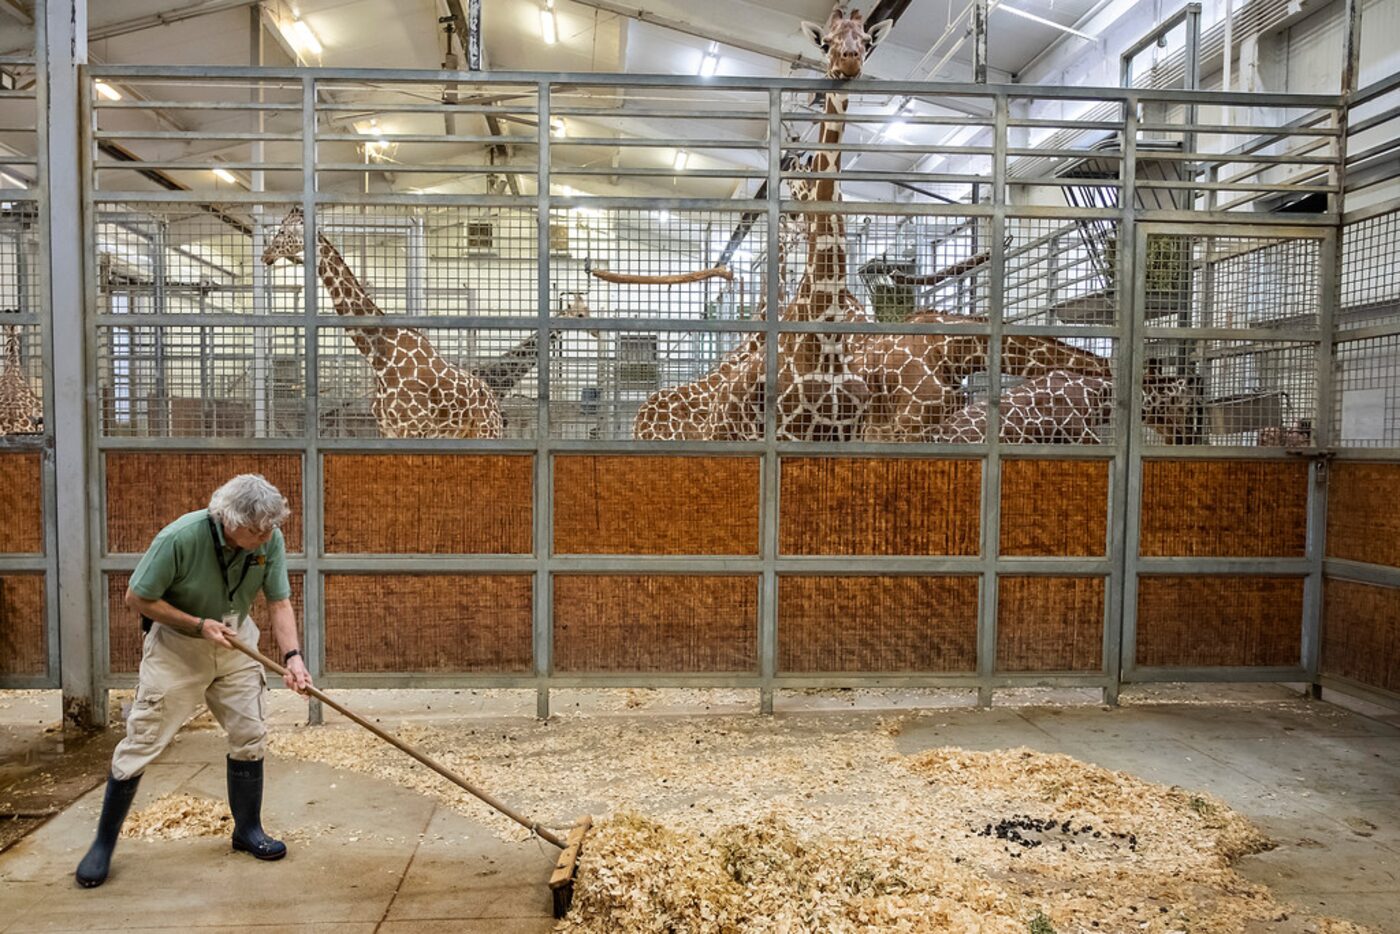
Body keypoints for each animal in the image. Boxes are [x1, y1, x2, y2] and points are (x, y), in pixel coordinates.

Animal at [263, 207, 504, 439]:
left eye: (282, 232)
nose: (265, 254)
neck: (380, 358)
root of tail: (494, 404)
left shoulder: (413, 429)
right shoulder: (387, 428)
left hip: (486, 432)